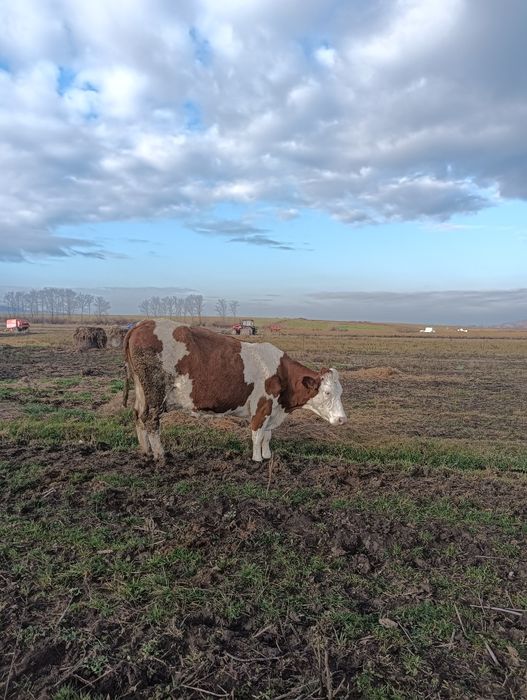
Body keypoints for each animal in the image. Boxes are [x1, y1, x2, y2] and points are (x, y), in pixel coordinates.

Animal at [123, 319, 347, 462]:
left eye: (341, 392)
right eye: (327, 392)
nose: (342, 419)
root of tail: (142, 324)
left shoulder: (273, 410)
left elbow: (267, 435)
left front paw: (267, 455)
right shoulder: (261, 407)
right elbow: (257, 435)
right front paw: (257, 459)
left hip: (142, 390)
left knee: (137, 415)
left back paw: (146, 452)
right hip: (155, 392)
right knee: (151, 420)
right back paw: (160, 455)